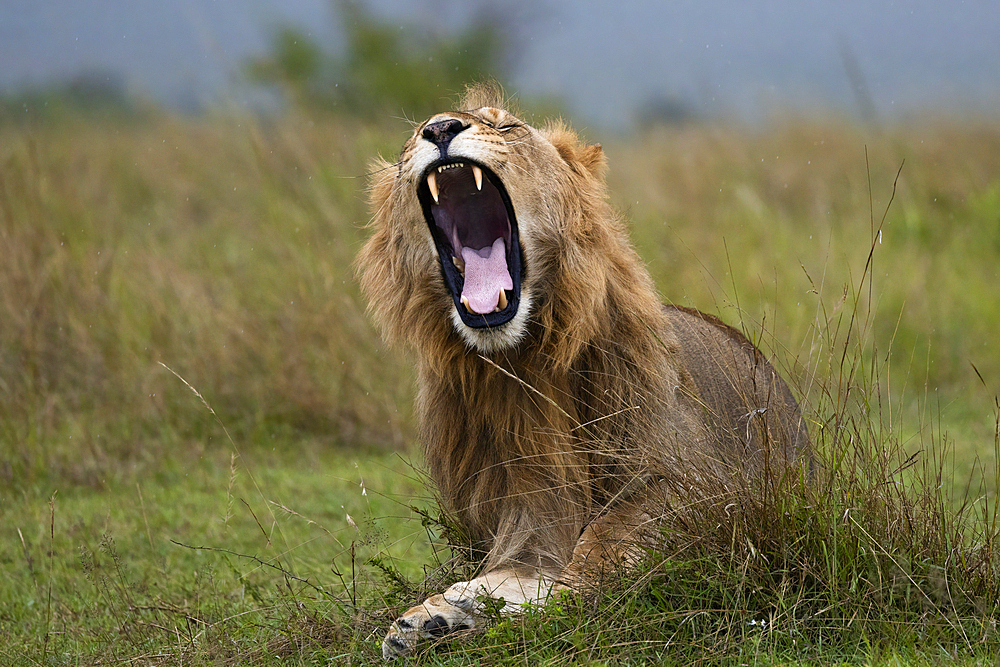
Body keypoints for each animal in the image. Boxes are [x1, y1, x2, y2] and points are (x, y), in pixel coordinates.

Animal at [356, 82, 808, 656]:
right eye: (412, 137)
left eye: (506, 126)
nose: (438, 129)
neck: (521, 362)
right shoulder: (526, 509)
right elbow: (514, 574)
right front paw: (435, 615)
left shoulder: (693, 484)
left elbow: (595, 560)